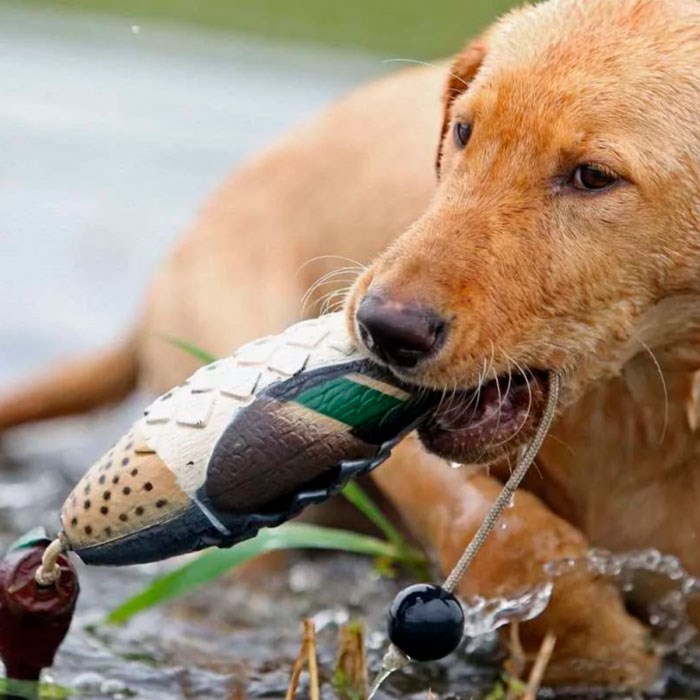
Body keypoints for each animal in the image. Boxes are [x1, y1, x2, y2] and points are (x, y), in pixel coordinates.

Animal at [1, 0, 700, 688]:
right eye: (464, 131)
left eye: (594, 176)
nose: (383, 327)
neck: (654, 404)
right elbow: (501, 536)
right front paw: (593, 642)